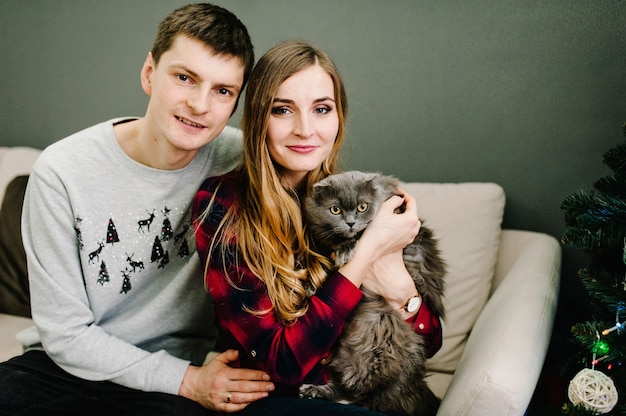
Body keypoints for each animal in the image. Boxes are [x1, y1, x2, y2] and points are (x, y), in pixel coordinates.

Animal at [298, 170, 442, 416]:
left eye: (362, 206)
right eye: (335, 210)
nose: (350, 222)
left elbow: (361, 236)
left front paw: (346, 250)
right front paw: (310, 286)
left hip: (382, 344)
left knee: (368, 398)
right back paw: (313, 391)